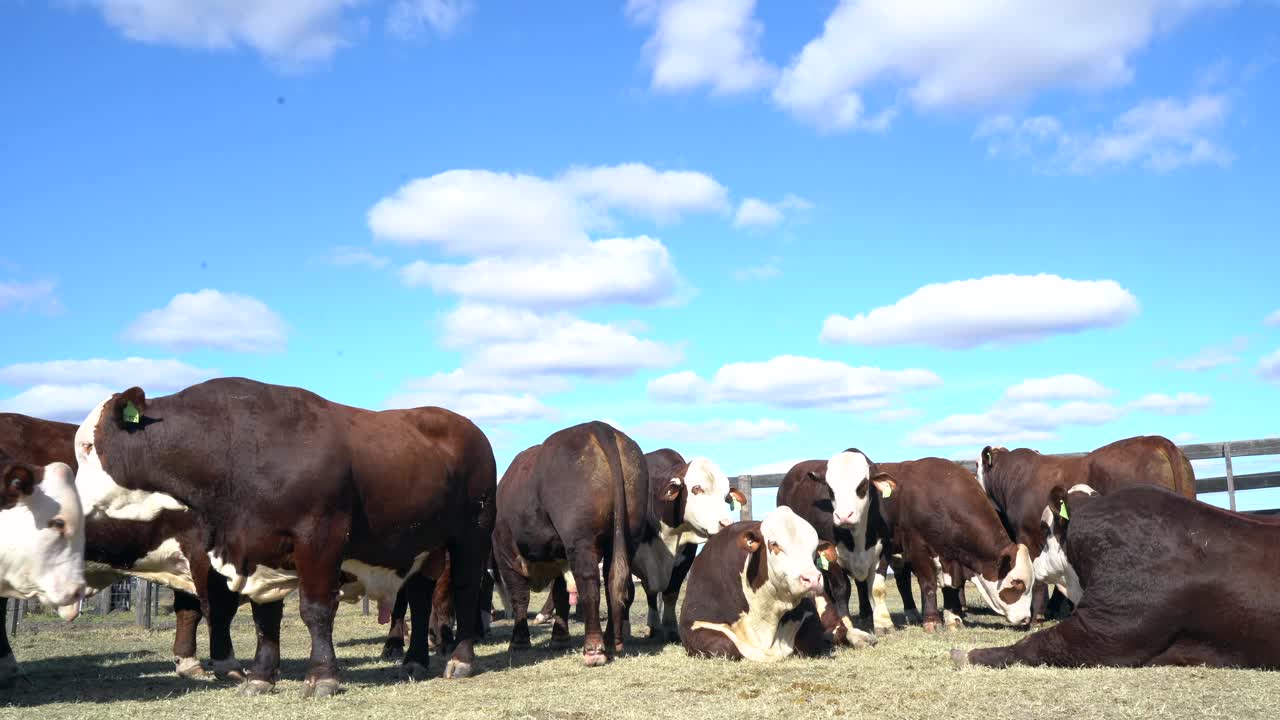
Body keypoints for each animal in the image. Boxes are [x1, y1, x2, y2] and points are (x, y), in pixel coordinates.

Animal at [72, 379, 496, 691]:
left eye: (89, 445)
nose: (73, 506)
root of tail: (466, 426)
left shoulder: (320, 538)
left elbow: (315, 609)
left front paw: (322, 677)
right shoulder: (259, 548)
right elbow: (265, 617)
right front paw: (261, 676)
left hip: (472, 533)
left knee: (464, 589)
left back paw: (460, 660)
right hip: (425, 545)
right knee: (422, 597)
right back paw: (414, 661)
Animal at [491, 422, 650, 666]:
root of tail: (598, 427)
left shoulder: (506, 554)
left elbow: (520, 596)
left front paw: (518, 641)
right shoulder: (559, 555)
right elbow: (560, 595)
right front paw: (560, 639)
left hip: (581, 540)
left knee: (590, 583)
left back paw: (594, 650)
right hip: (628, 535)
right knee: (616, 581)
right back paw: (612, 641)